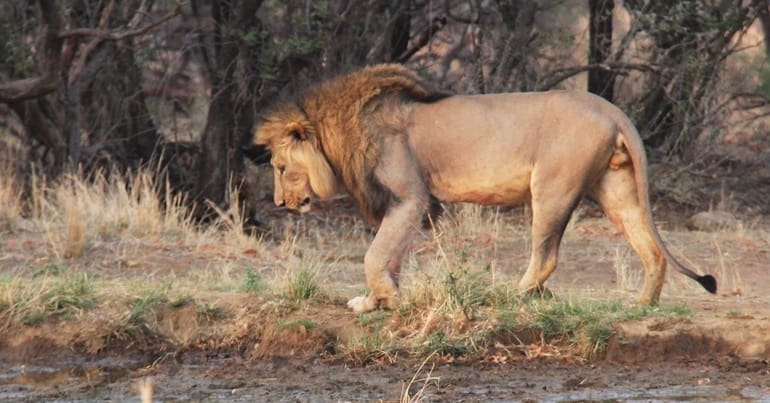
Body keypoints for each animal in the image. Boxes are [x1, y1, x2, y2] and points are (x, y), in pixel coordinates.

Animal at [254, 64, 717, 313]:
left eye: (280, 166)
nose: (279, 201)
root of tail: (608, 106)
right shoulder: (405, 204)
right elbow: (390, 256)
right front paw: (374, 302)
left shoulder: (410, 196)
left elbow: (375, 255)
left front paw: (388, 300)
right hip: (616, 189)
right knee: (653, 250)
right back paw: (642, 304)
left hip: (552, 188)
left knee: (546, 257)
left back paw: (511, 296)